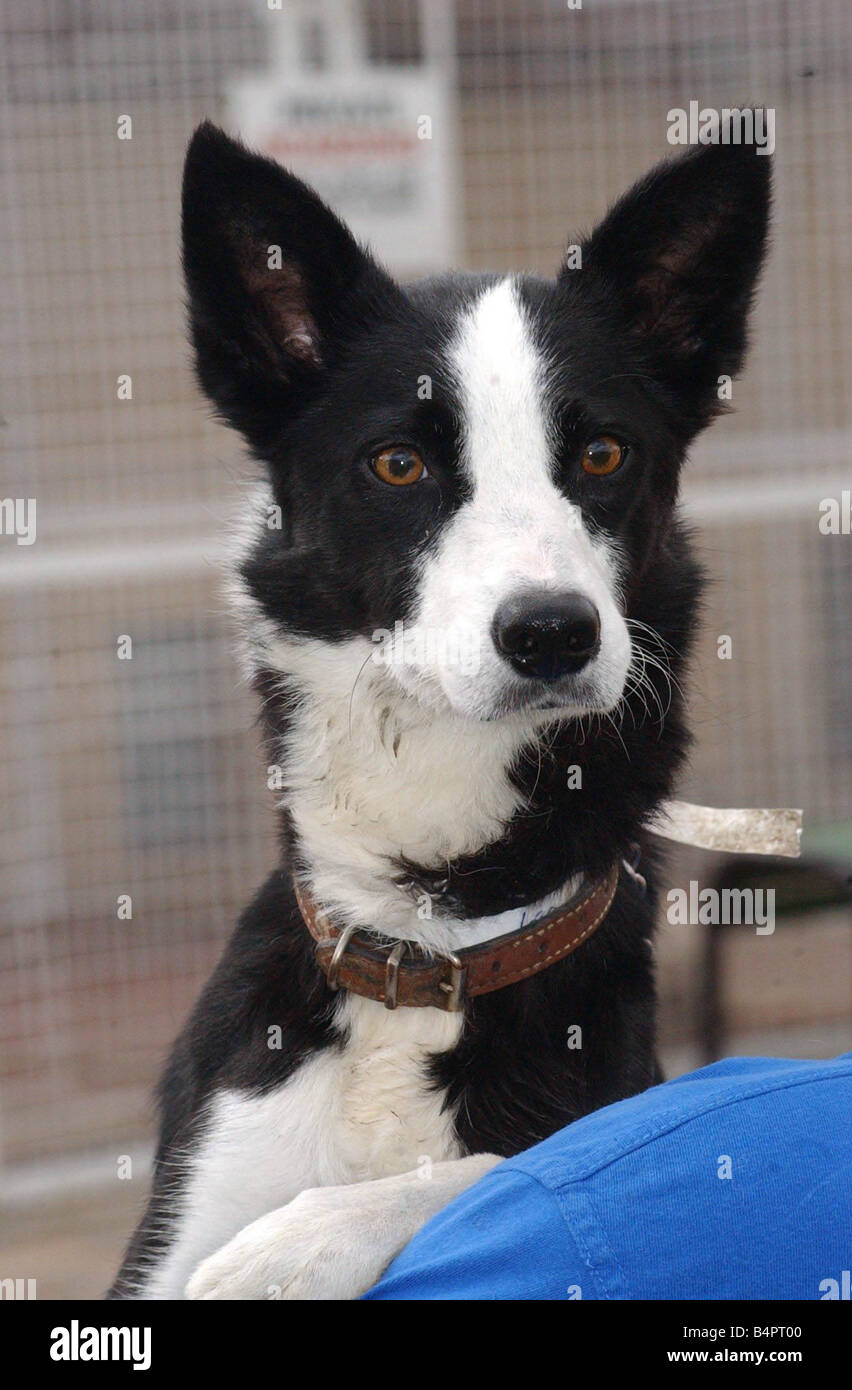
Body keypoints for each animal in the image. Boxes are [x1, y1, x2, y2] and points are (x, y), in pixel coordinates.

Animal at [109, 122, 767, 1301]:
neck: (425, 957)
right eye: (399, 463)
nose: (552, 633)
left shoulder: (603, 1109)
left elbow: (497, 1167)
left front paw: (287, 1249)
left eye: (603, 454)